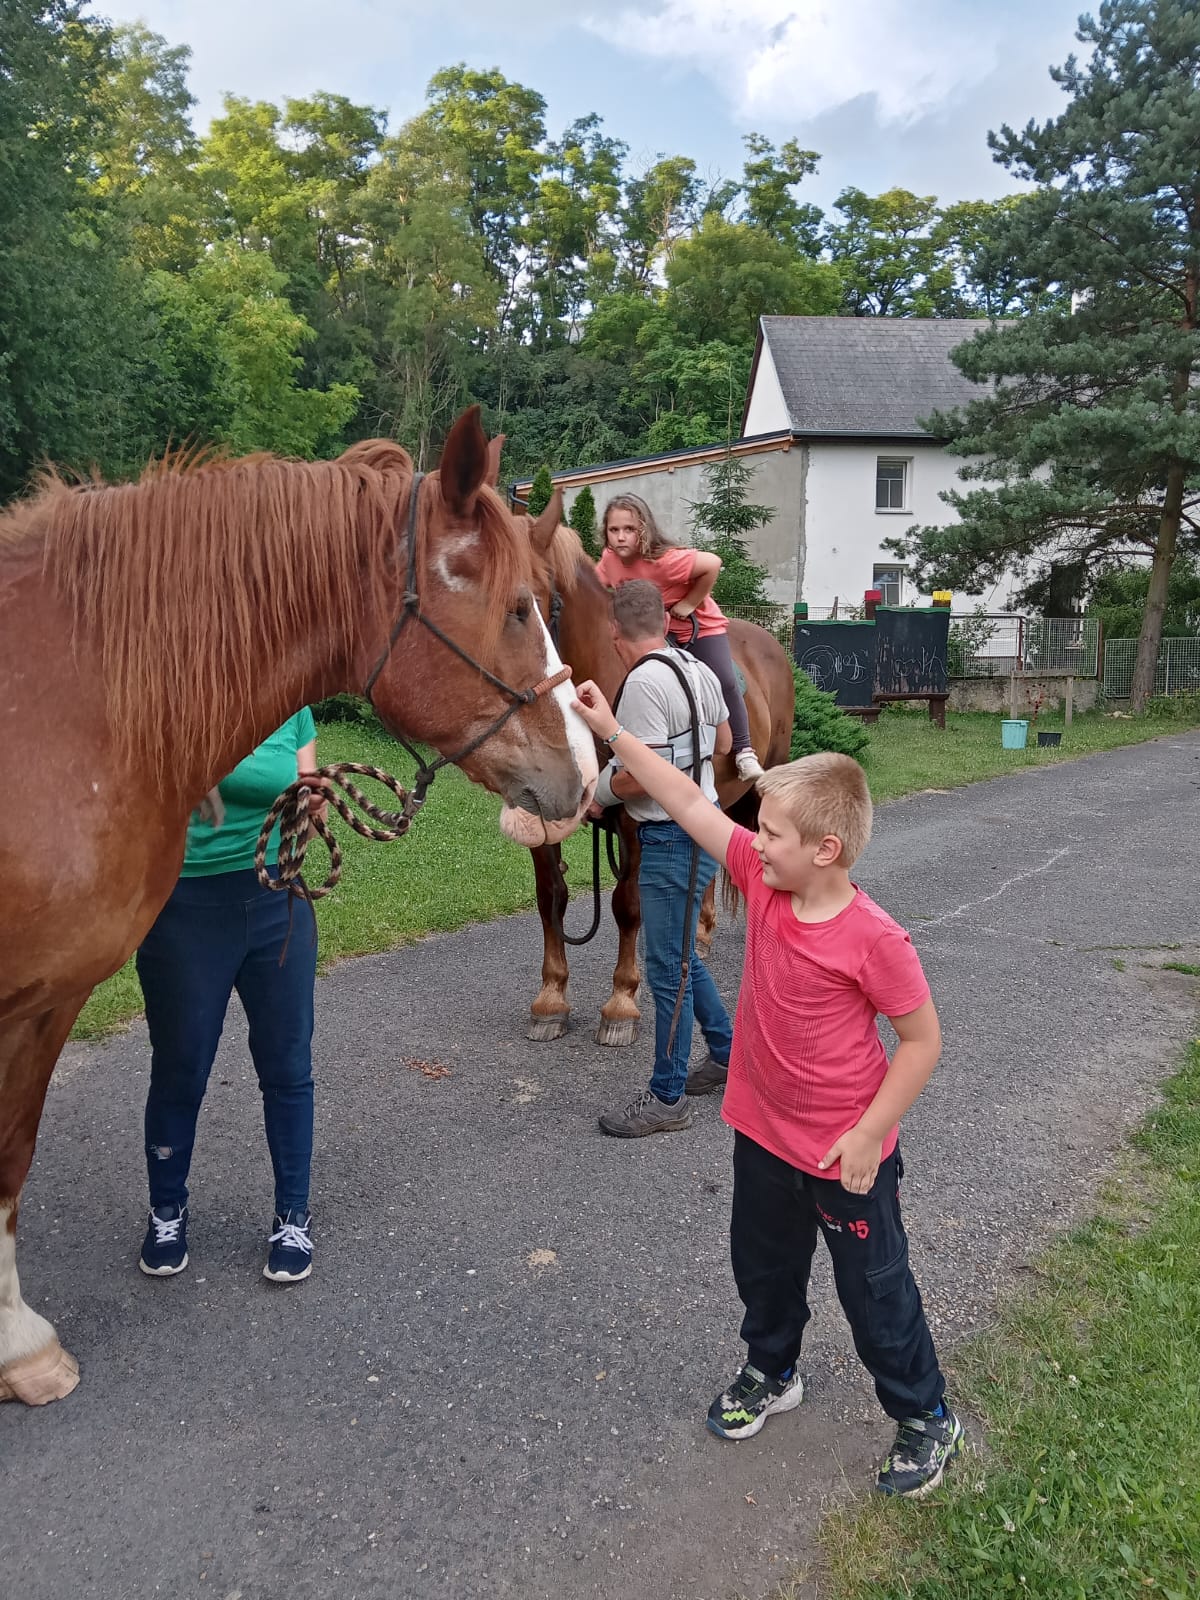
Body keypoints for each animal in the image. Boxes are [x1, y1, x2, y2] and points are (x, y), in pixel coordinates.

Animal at [0, 406, 598, 1408]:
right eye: (521, 607)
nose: (588, 775)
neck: (73, 707)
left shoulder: (45, 1001)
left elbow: (12, 1153)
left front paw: (16, 1347)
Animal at [521, 505, 793, 1043]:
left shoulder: (635, 820)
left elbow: (628, 905)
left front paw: (622, 1004)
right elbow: (550, 897)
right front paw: (551, 998)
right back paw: (700, 935)